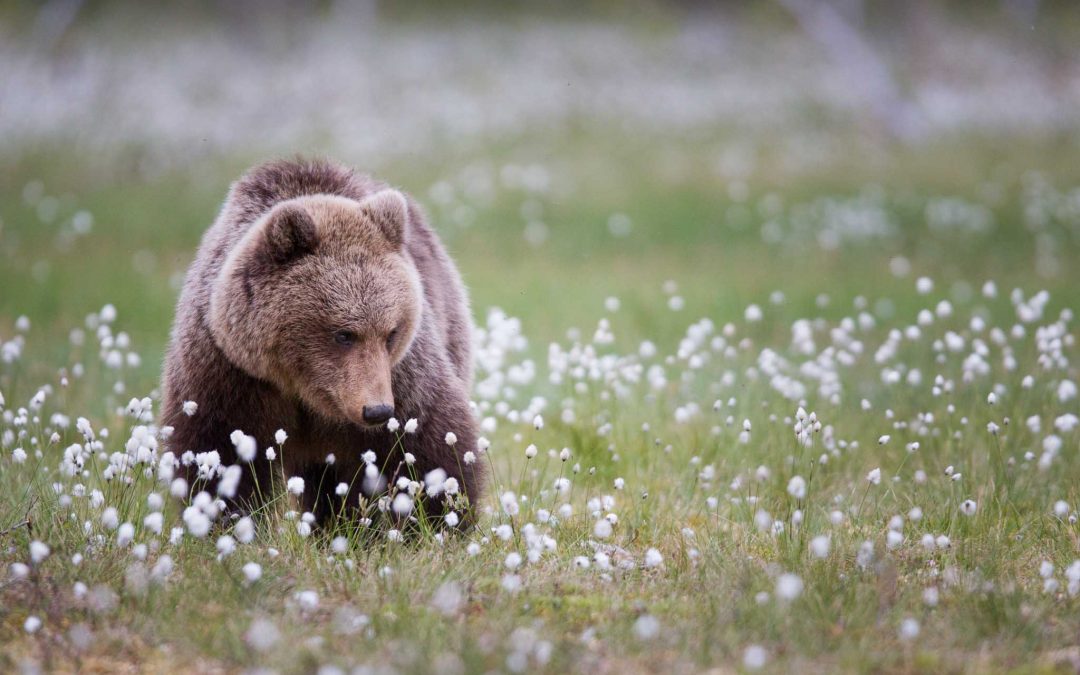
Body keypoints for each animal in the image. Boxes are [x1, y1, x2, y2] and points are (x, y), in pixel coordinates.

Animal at [159, 158, 484, 524]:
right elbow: (217, 453)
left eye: (391, 332)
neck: (306, 390)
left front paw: (440, 519)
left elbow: (431, 442)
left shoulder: (401, 374)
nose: (377, 410)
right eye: (343, 334)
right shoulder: (228, 370)